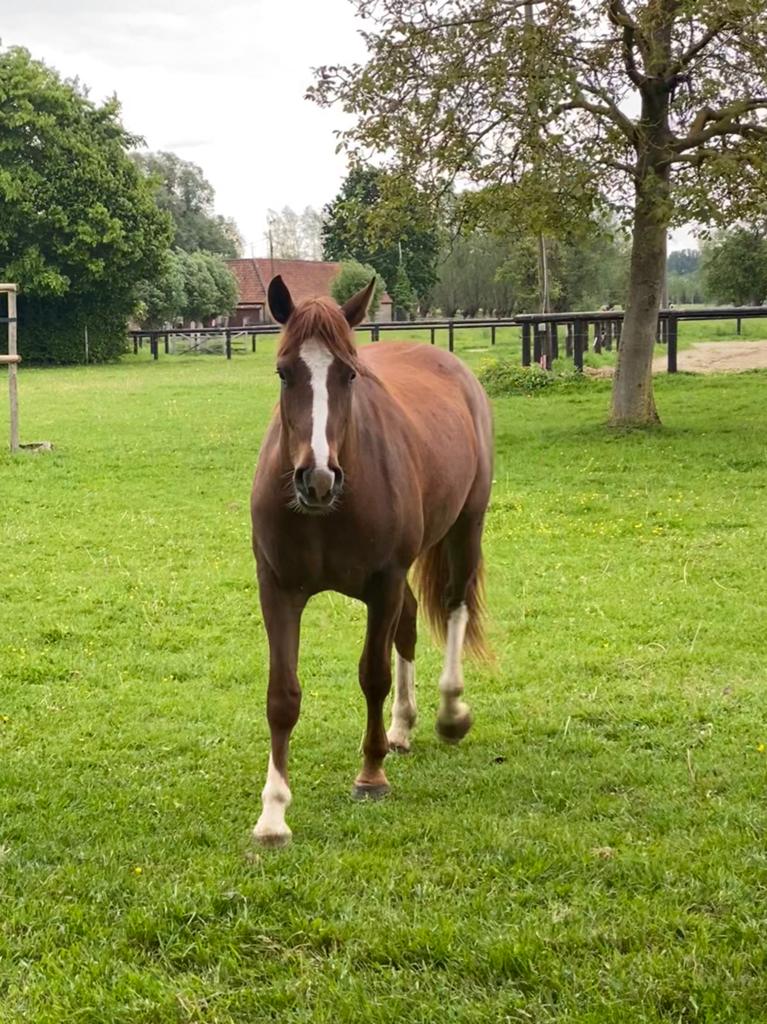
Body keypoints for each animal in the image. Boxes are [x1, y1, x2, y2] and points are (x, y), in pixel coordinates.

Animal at [250, 275, 493, 846]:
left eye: (349, 373)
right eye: (284, 371)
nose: (317, 479)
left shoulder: (383, 583)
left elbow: (373, 675)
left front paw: (371, 775)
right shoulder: (278, 588)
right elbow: (282, 695)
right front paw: (273, 813)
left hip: (466, 527)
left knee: (453, 608)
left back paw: (450, 712)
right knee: (409, 626)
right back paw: (402, 727)